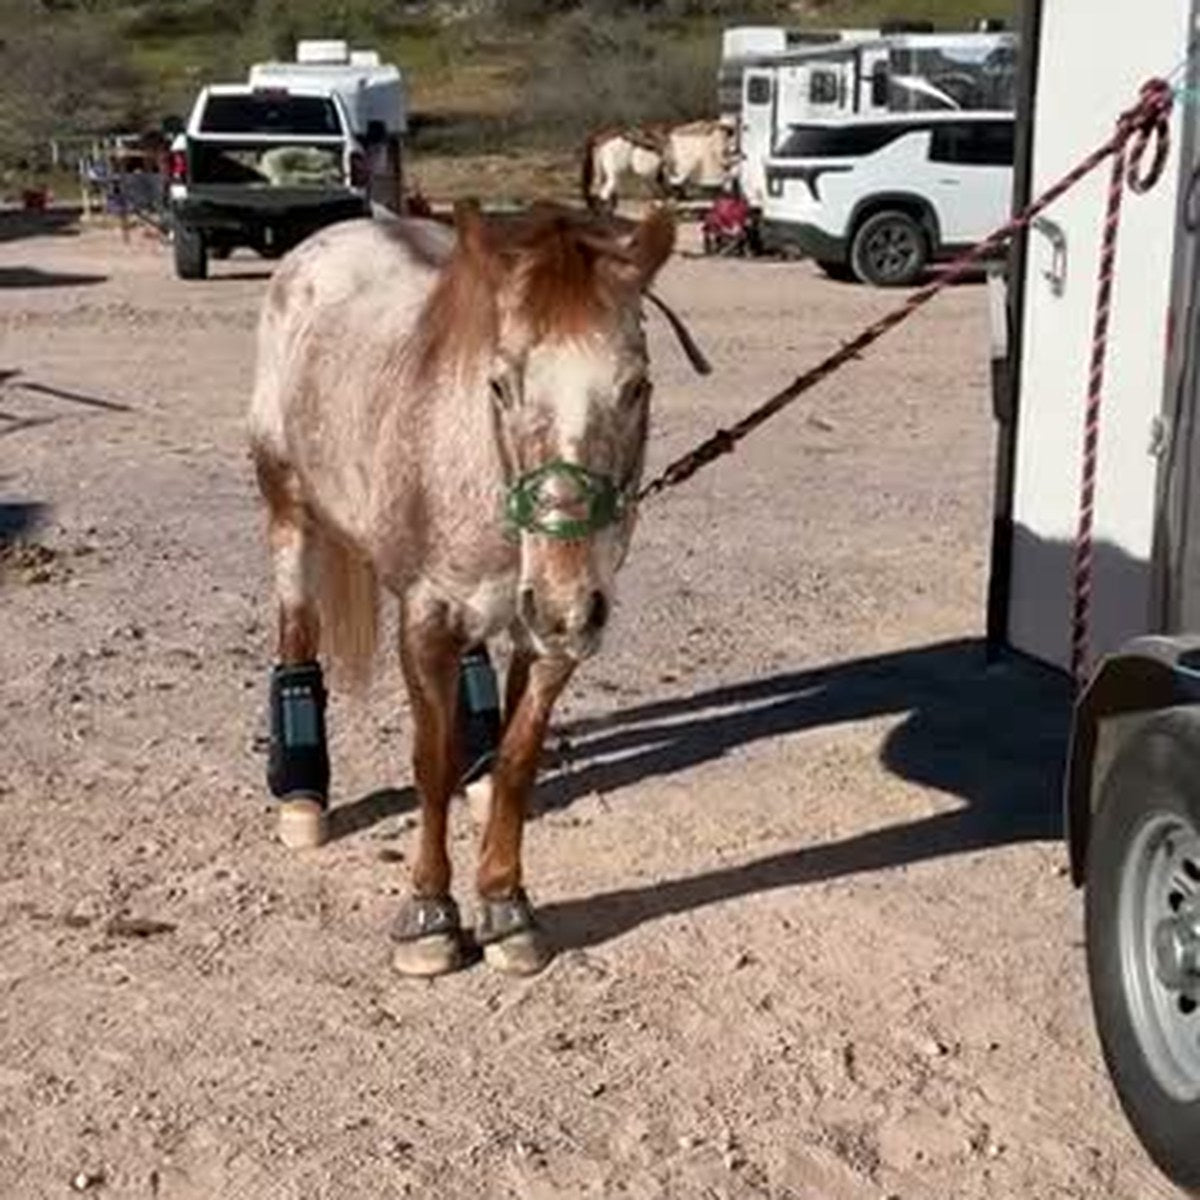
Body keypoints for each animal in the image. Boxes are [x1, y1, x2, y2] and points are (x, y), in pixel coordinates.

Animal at [248, 201, 676, 979]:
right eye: (502, 383)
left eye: (635, 387)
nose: (567, 606)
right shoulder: (426, 619)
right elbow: (428, 760)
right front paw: (429, 917)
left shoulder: (547, 637)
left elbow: (517, 759)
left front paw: (506, 907)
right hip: (288, 509)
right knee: (296, 627)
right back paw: (301, 797)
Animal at [582, 119, 735, 212]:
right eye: (727, 139)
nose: (729, 162)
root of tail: (602, 138)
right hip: (614, 175)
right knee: (604, 194)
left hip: (603, 174)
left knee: (599, 192)